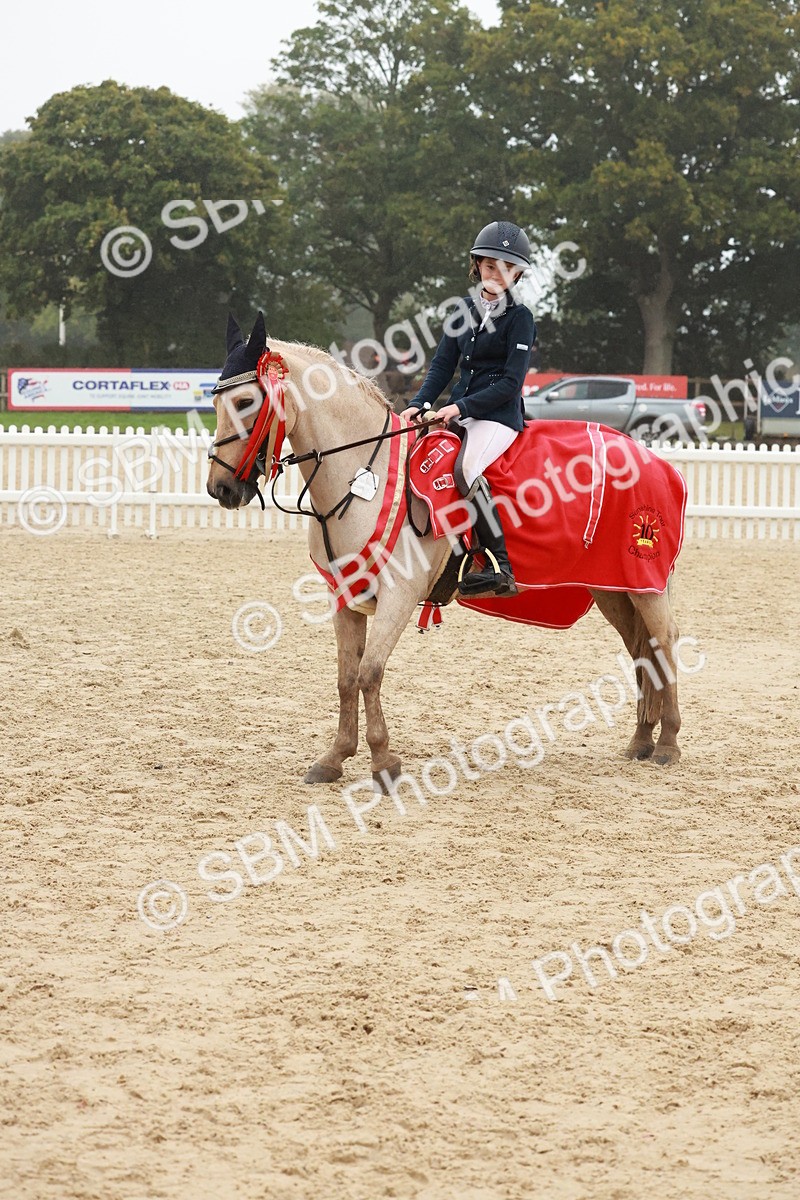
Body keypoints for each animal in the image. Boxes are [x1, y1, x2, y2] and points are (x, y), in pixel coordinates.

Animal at [206, 317, 684, 789]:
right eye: (216, 401)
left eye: (246, 400)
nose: (221, 489)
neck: (363, 477)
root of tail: (658, 462)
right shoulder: (345, 597)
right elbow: (345, 678)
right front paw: (335, 757)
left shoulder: (398, 596)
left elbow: (370, 672)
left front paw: (383, 762)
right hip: (611, 588)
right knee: (641, 648)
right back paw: (641, 741)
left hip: (644, 583)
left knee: (664, 640)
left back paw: (667, 744)